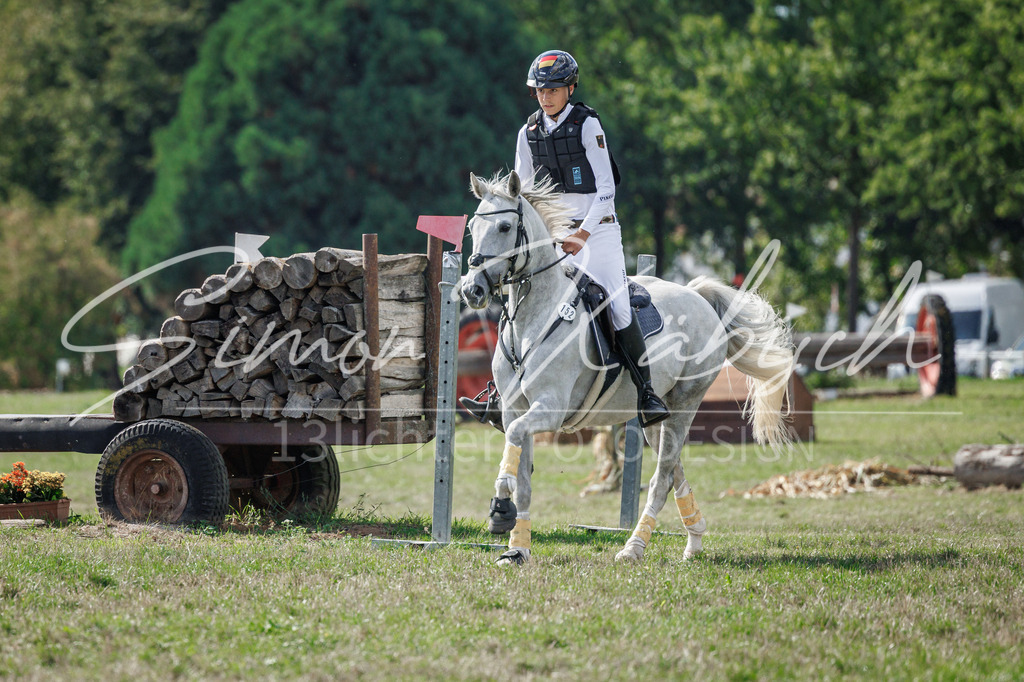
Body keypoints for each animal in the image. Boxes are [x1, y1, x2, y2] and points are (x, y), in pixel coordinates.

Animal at [460, 171, 794, 565]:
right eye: (472, 227)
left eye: (505, 226)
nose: (471, 290)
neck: (532, 319)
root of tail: (698, 295)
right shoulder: (516, 410)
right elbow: (522, 476)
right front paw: (517, 548)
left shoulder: (549, 409)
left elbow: (513, 449)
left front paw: (499, 508)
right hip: (657, 419)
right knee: (674, 470)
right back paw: (694, 539)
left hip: (685, 404)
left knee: (661, 478)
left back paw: (634, 547)